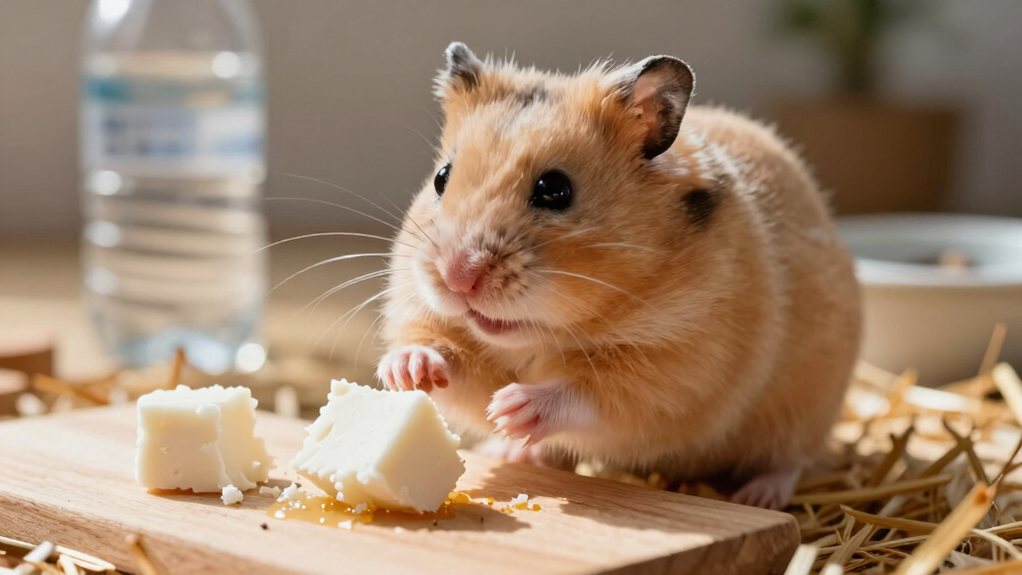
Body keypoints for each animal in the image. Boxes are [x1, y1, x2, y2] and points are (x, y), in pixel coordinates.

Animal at [376, 42, 861, 509]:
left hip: (805, 410)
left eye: (555, 190)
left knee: (789, 461)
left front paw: (512, 407)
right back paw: (510, 450)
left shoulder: (679, 367)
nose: (458, 277)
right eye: (441, 177)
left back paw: (758, 496)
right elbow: (449, 361)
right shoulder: (437, 323)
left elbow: (593, 394)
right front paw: (408, 372)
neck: (536, 336)